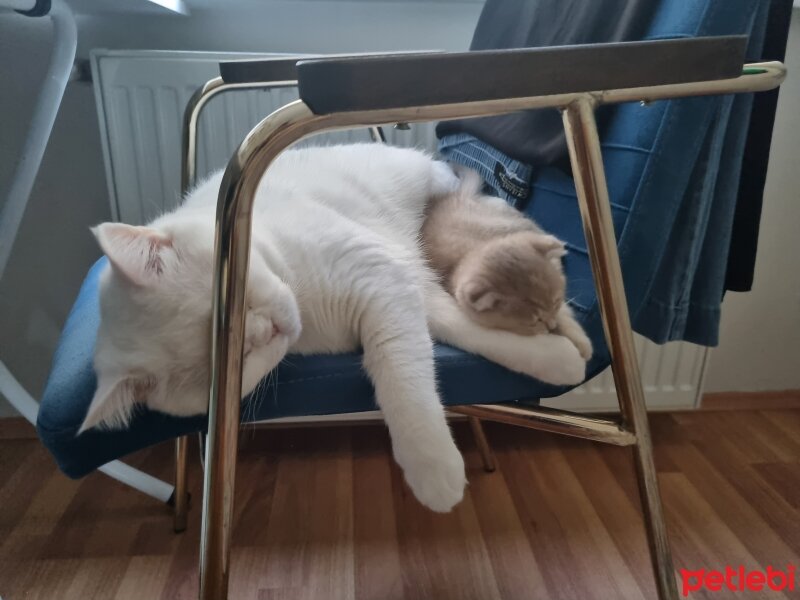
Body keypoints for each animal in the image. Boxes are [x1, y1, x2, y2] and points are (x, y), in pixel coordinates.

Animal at [424, 166, 592, 358]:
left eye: (556, 302)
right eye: (535, 322)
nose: (551, 326)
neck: (467, 253)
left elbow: (565, 316)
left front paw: (582, 344)